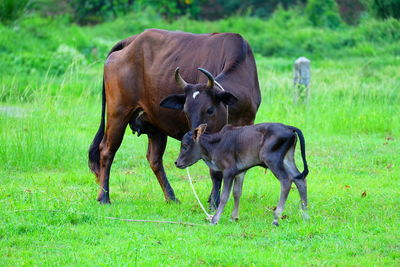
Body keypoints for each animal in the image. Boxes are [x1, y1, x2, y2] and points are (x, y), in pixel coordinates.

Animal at [88, 28, 260, 205]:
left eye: (210, 109)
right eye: (186, 111)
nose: (193, 137)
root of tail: (130, 42)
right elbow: (215, 171)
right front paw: (214, 202)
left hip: (155, 125)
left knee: (154, 159)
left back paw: (171, 196)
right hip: (118, 112)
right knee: (107, 150)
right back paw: (104, 197)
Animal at [175, 123, 310, 226]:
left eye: (185, 146)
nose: (177, 162)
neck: (215, 145)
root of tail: (289, 127)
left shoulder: (228, 171)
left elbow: (224, 196)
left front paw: (215, 219)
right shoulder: (240, 172)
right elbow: (237, 193)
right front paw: (234, 217)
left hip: (272, 159)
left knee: (286, 181)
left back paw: (276, 218)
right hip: (287, 159)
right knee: (300, 179)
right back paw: (305, 215)